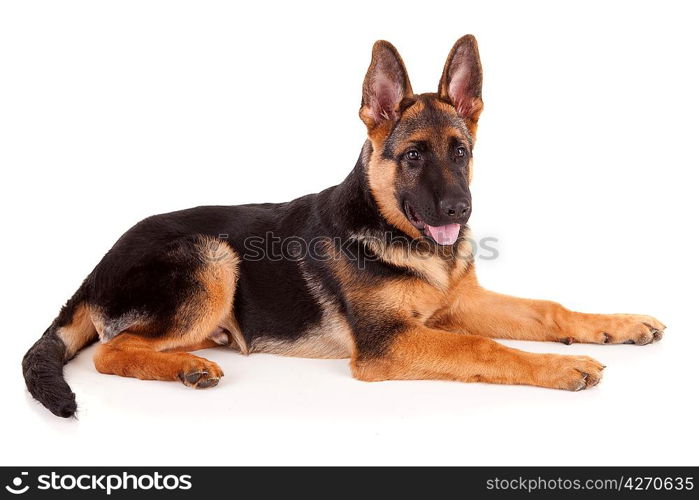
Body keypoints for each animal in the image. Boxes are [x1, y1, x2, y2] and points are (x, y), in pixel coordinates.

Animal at [23, 36, 668, 418]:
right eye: (413, 157)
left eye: (460, 151)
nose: (459, 211)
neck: (398, 233)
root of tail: (94, 269)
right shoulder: (390, 343)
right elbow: (485, 346)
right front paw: (560, 367)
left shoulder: (457, 303)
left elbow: (549, 310)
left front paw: (618, 325)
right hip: (213, 257)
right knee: (111, 352)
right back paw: (187, 367)